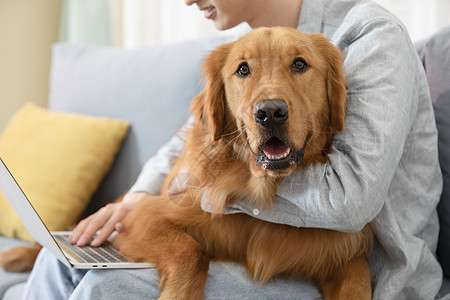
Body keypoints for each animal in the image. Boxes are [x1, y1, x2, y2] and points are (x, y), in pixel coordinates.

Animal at [116, 27, 372, 298]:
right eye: (243, 69)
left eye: (300, 64)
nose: (270, 113)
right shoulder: (146, 215)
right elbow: (192, 251)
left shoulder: (344, 250)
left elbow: (359, 282)